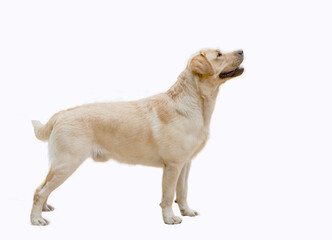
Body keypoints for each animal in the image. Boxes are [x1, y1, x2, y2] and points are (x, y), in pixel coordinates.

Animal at [31, 48, 244, 225]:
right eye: (218, 54)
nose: (241, 50)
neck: (195, 104)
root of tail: (60, 115)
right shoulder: (172, 165)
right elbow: (168, 196)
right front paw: (170, 218)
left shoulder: (185, 164)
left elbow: (182, 192)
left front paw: (187, 211)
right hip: (67, 163)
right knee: (39, 191)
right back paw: (36, 219)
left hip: (60, 165)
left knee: (42, 188)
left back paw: (44, 209)